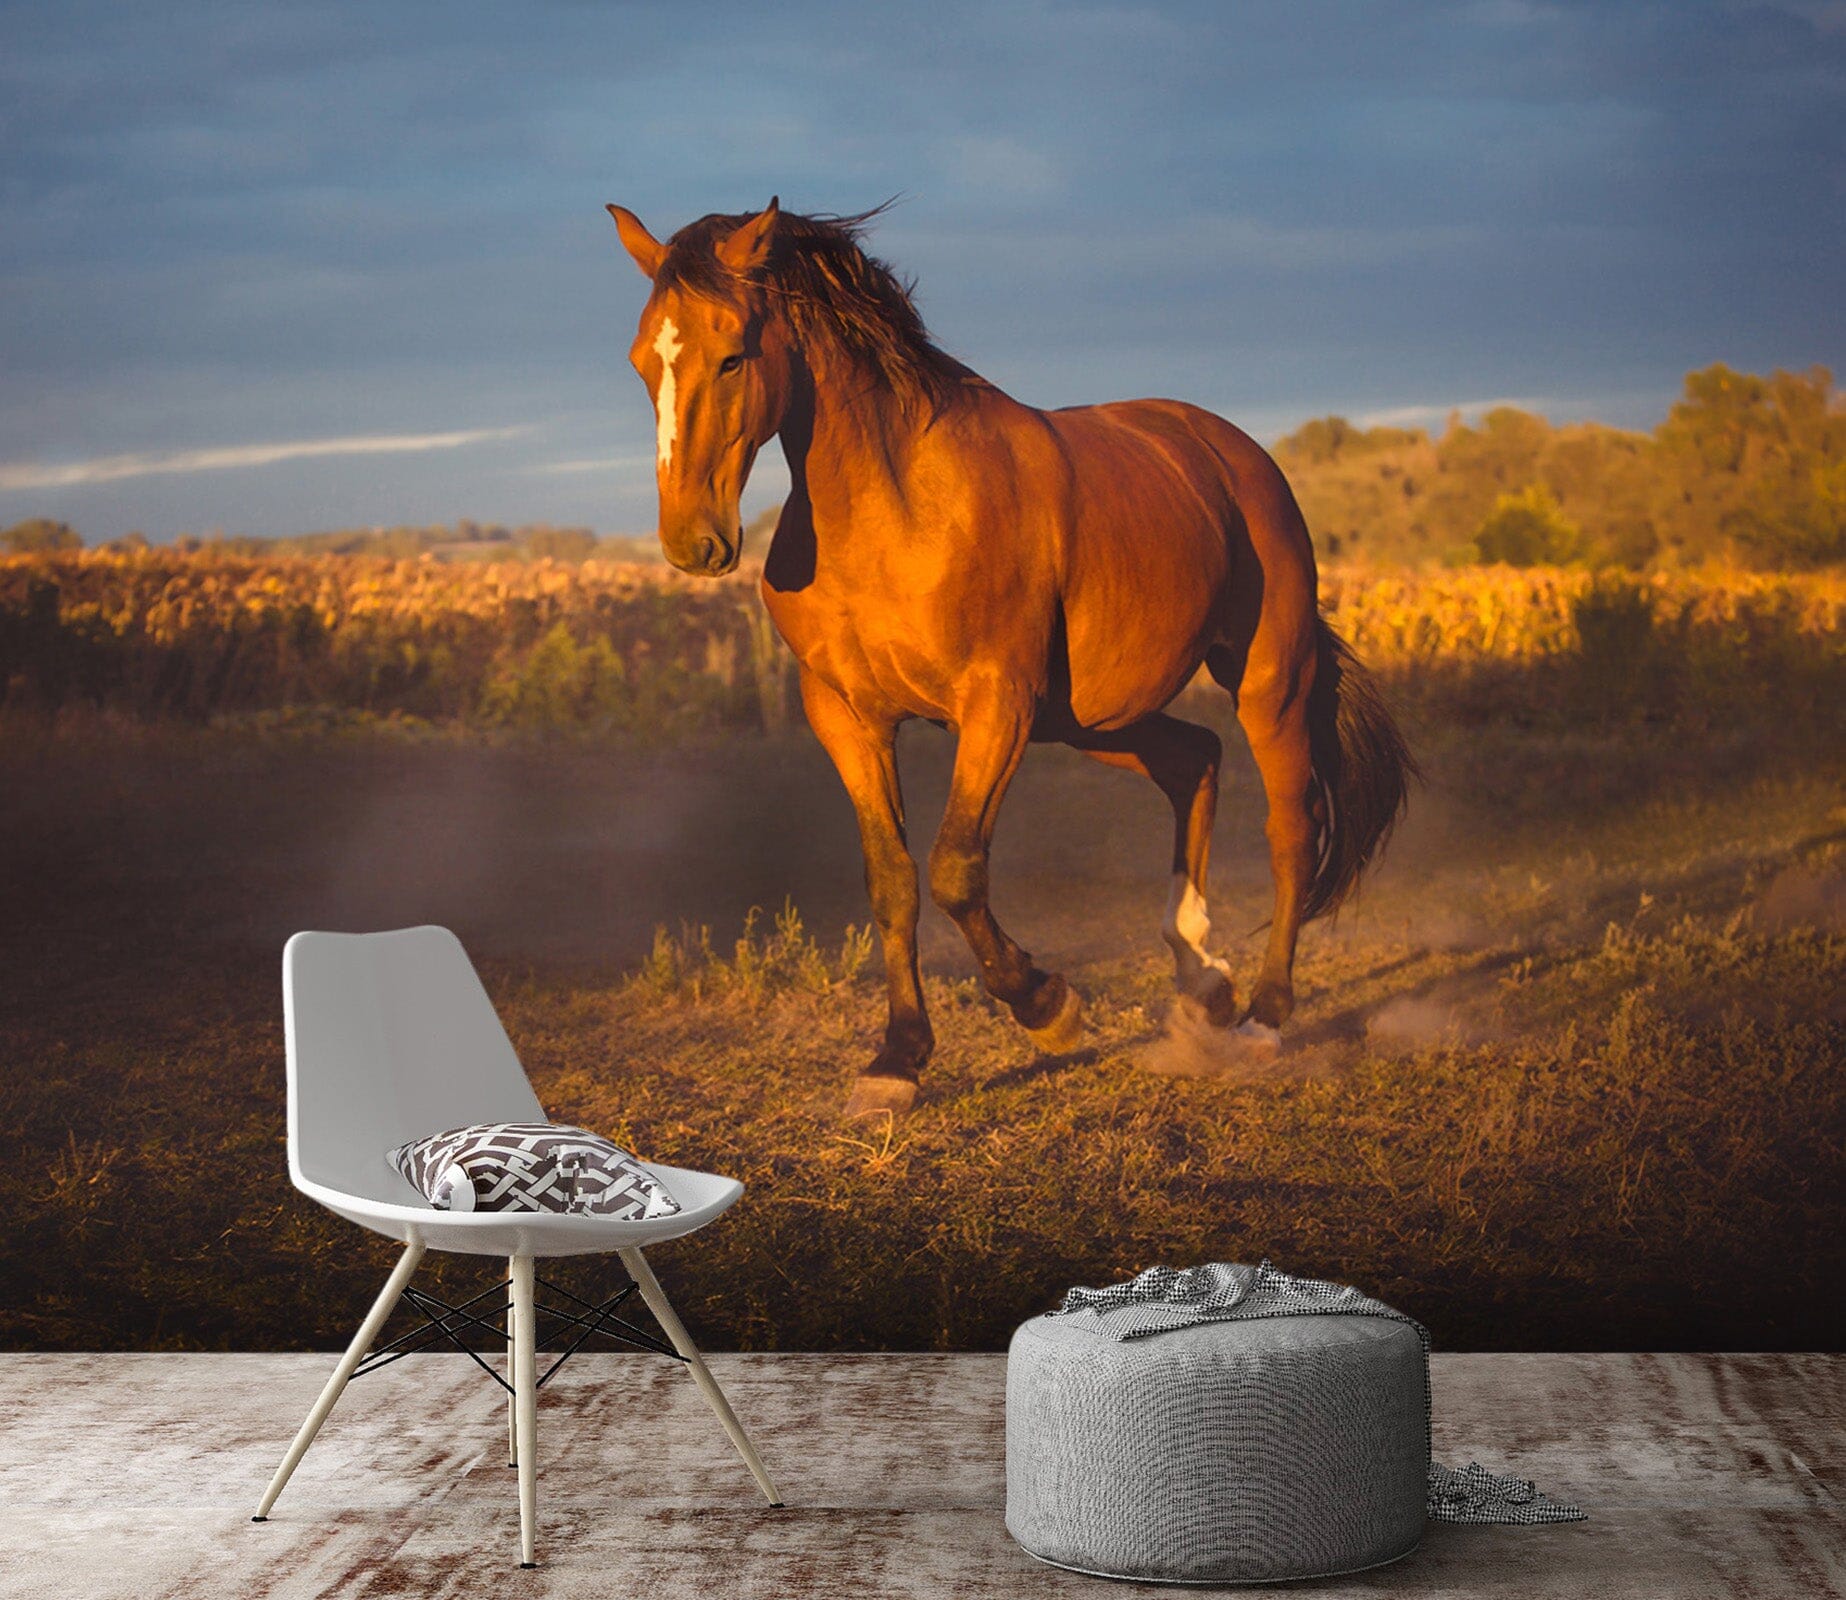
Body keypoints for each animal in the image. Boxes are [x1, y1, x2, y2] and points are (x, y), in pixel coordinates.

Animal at [606, 198, 1414, 1118]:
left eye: (733, 354)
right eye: (642, 360)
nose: (691, 542)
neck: (895, 510)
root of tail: (1235, 454)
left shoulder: (996, 705)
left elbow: (956, 869)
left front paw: (1047, 1007)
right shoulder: (848, 717)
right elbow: (891, 879)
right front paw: (896, 1062)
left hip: (1265, 682)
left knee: (1291, 827)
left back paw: (1264, 1017)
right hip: (1093, 719)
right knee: (1195, 761)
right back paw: (1202, 980)